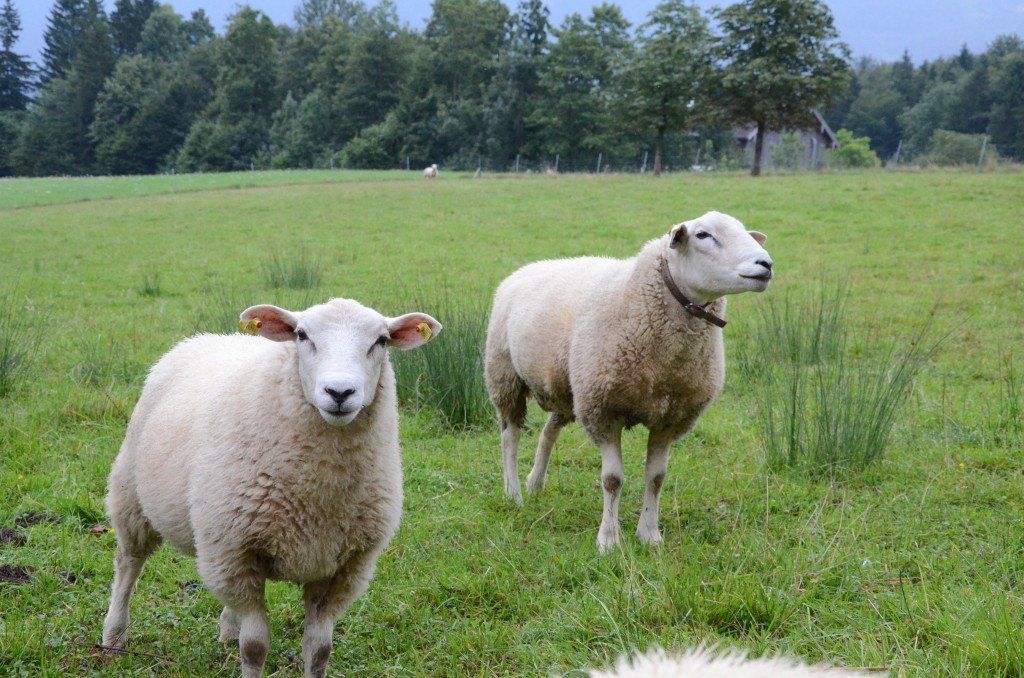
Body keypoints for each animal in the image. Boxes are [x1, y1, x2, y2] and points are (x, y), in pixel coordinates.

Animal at [99, 301, 440, 675]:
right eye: (302, 335)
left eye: (381, 341)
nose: (339, 393)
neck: (321, 495)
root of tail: (205, 338)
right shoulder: (234, 550)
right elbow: (254, 647)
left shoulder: (344, 568)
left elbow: (319, 649)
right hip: (132, 497)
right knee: (128, 565)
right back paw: (113, 637)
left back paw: (227, 630)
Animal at [483, 210, 770, 553]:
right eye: (702, 235)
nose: (766, 264)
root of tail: (528, 268)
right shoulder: (603, 411)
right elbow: (613, 480)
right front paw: (609, 540)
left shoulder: (670, 418)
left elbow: (656, 478)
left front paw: (650, 534)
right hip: (505, 377)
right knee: (510, 436)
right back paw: (513, 492)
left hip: (570, 388)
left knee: (548, 431)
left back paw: (535, 483)